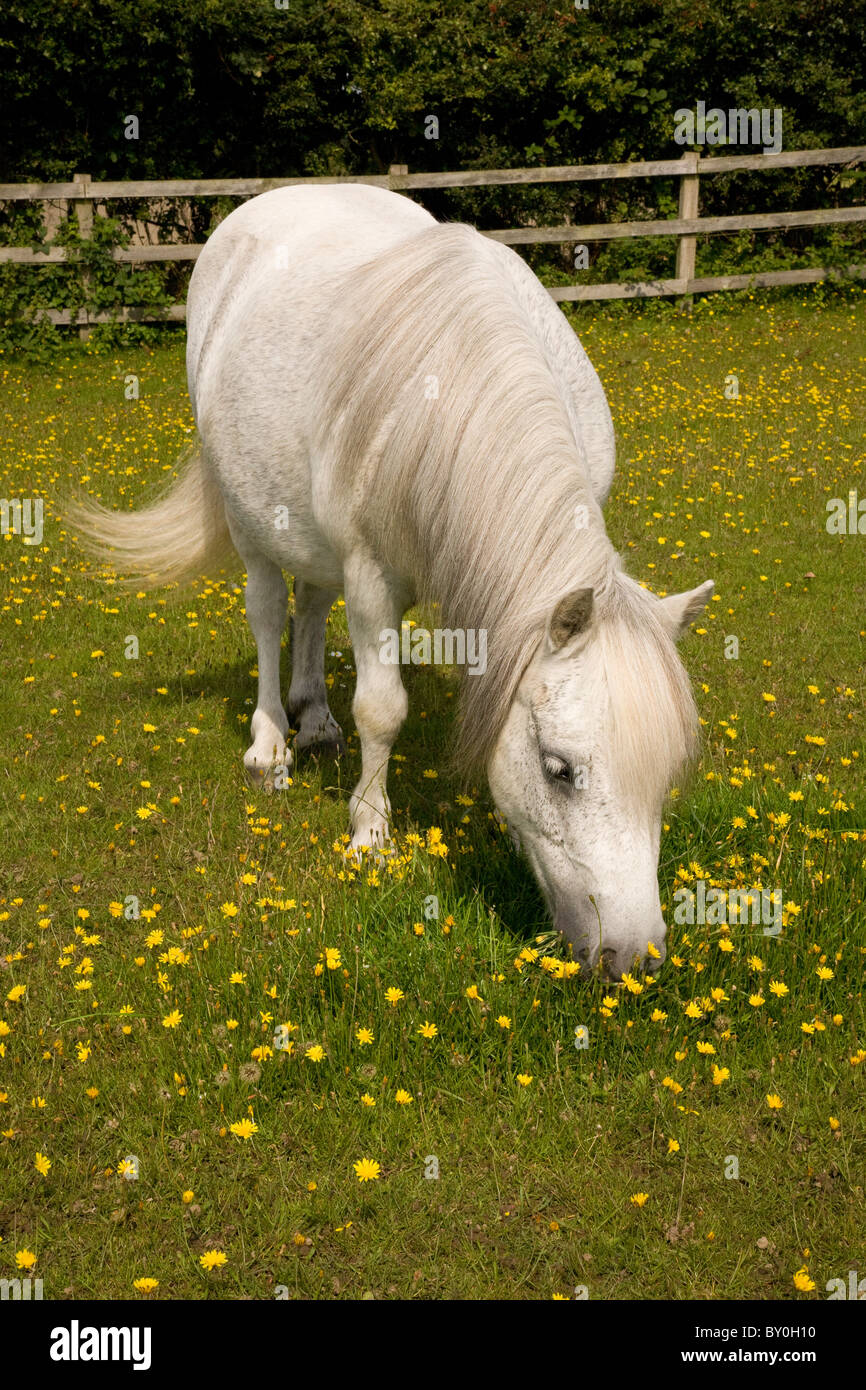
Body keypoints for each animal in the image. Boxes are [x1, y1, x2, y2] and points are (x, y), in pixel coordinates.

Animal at [71, 184, 717, 984]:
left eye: (666, 775)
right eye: (560, 770)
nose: (634, 956)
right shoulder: (371, 575)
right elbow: (383, 709)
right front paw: (370, 834)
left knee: (312, 605)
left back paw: (315, 719)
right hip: (251, 521)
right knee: (268, 611)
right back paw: (271, 744)